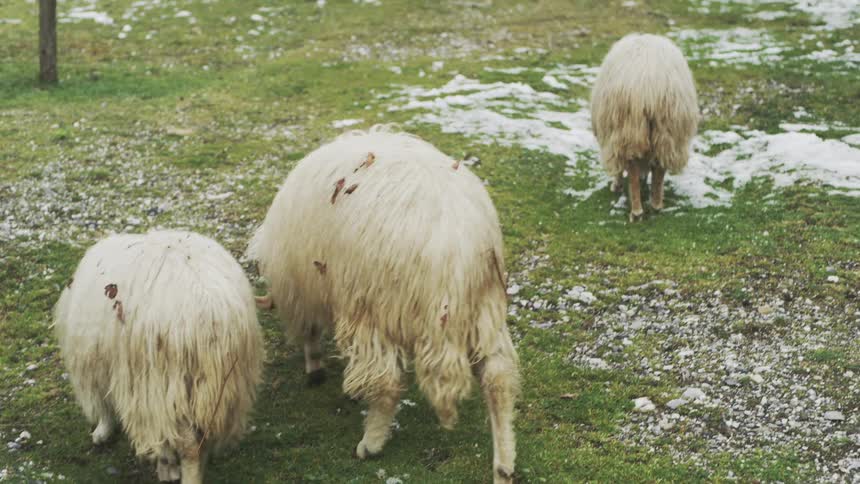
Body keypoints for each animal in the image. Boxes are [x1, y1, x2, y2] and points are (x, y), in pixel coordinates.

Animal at [54, 230, 264, 484]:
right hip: (219, 386)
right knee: (201, 439)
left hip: (167, 386)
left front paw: (103, 432)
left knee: (189, 446)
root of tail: (209, 309)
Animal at [248, 126, 520, 483]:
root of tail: (451, 246)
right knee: (498, 379)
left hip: (373, 308)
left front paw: (315, 367)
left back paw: (370, 443)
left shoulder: (305, 291)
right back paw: (504, 464)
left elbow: (310, 332)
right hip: (484, 306)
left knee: (387, 383)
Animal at [590, 33, 699, 222]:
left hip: (629, 128)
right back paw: (656, 205)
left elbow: (619, 168)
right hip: (668, 129)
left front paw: (616, 185)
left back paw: (637, 211)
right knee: (660, 167)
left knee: (633, 168)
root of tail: (650, 88)